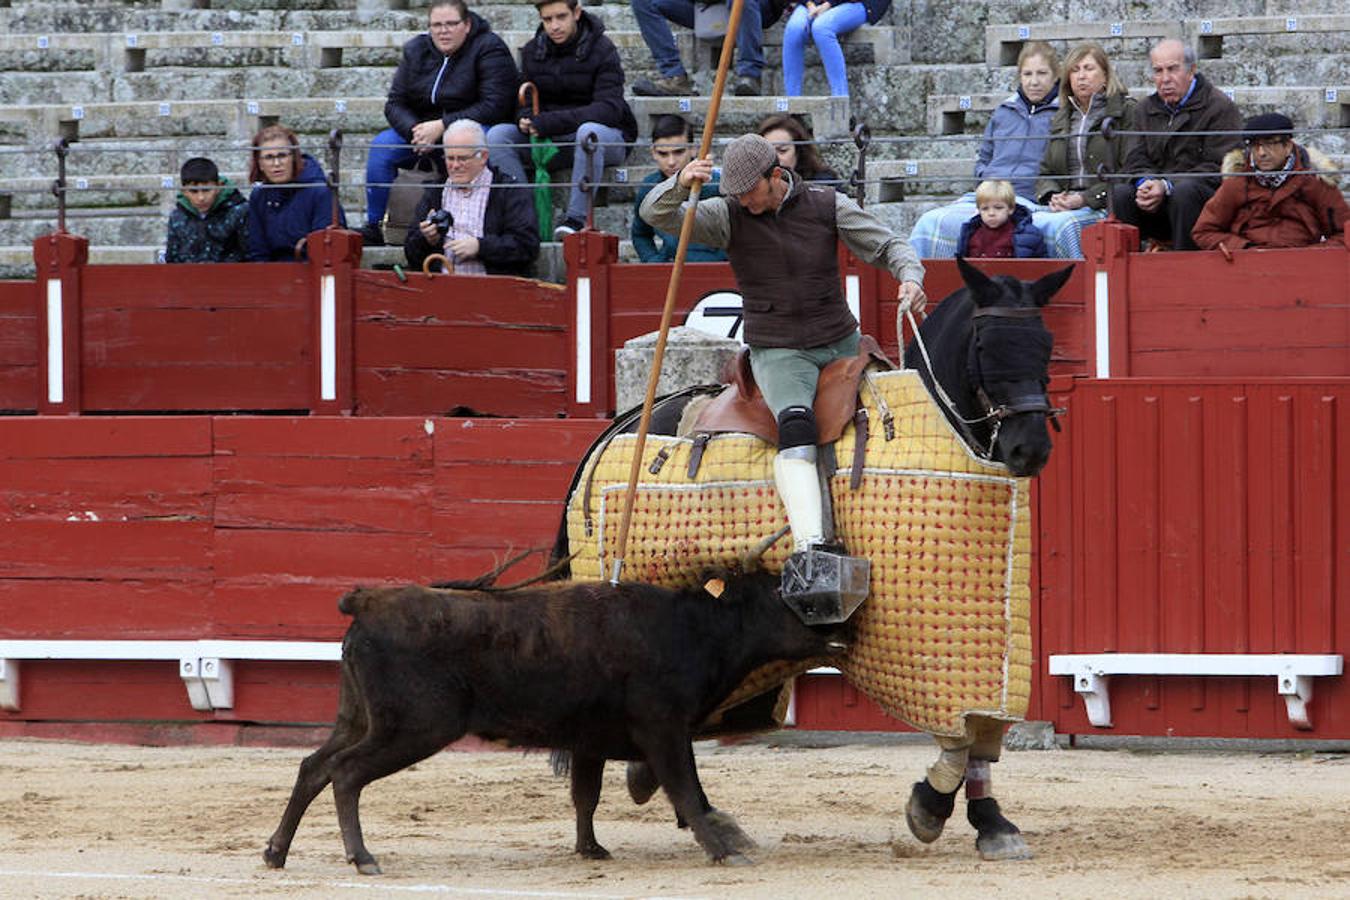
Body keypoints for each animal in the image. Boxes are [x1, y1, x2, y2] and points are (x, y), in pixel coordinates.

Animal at [264, 569, 847, 874]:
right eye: (783, 596)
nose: (840, 628)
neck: (693, 629)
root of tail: (369, 601)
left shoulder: (590, 740)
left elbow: (586, 795)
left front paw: (591, 849)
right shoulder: (664, 729)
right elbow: (685, 789)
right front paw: (722, 849)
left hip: (358, 718)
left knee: (314, 766)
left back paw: (276, 851)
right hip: (411, 728)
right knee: (345, 774)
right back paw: (362, 856)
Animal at [550, 256, 1074, 863]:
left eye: (1046, 344)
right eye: (987, 345)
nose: (1029, 448)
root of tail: (614, 429)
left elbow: (982, 733)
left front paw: (991, 821)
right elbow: (959, 737)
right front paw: (930, 806)